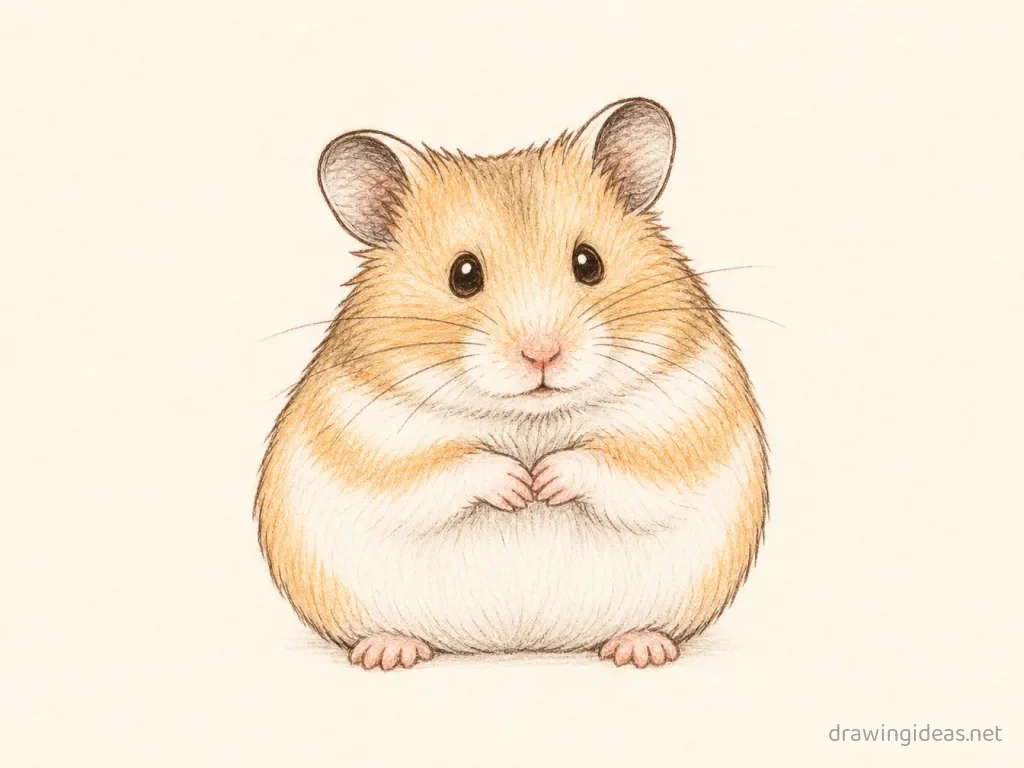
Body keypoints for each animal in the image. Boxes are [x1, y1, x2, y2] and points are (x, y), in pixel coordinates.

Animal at [255, 98, 768, 670]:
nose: (542, 353)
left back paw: (641, 649)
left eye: (588, 262)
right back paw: (388, 653)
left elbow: (618, 461)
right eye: (463, 274)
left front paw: (544, 481)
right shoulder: (374, 442)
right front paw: (520, 487)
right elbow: (443, 467)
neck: (528, 417)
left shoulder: (681, 424)